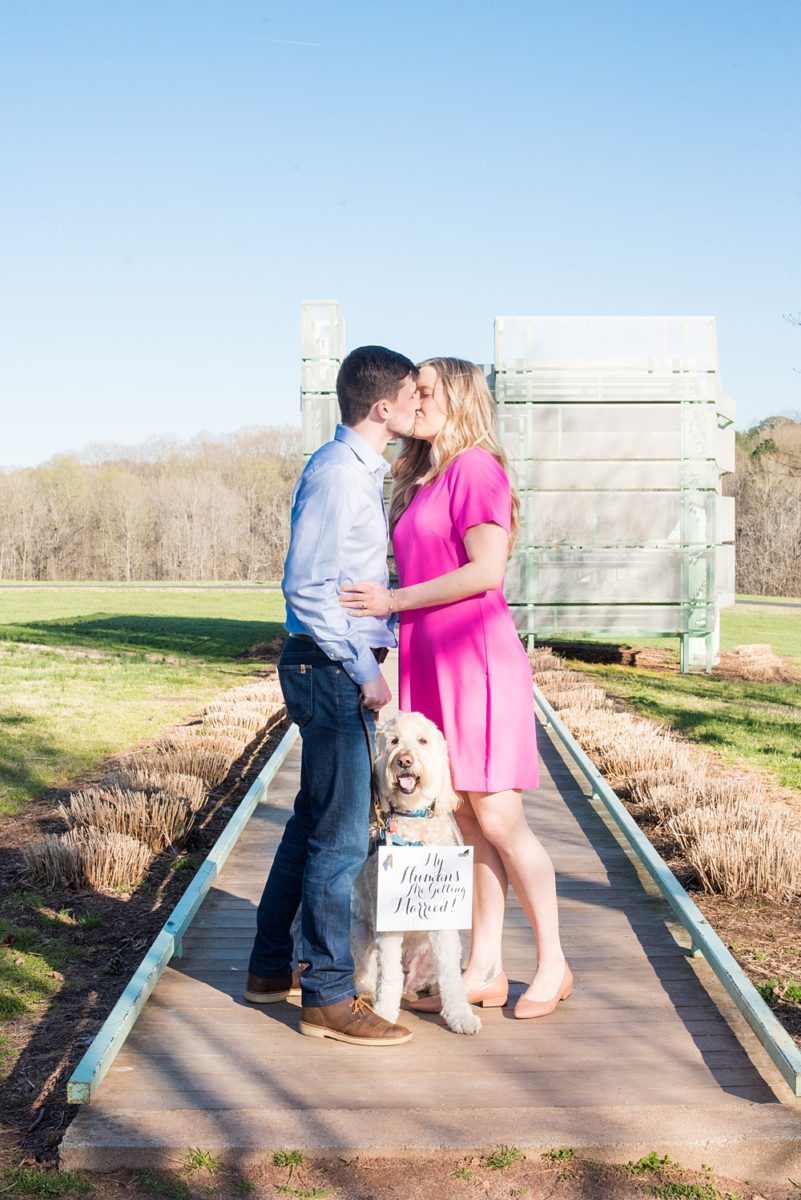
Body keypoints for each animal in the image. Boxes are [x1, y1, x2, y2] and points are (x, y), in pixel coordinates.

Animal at [352, 705, 479, 1036]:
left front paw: (461, 1015)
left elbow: (452, 978)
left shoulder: (444, 919)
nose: (405, 760)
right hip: (359, 937)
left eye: (423, 741)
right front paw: (384, 1014)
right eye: (394, 741)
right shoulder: (386, 919)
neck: (412, 820)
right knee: (374, 977)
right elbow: (388, 976)